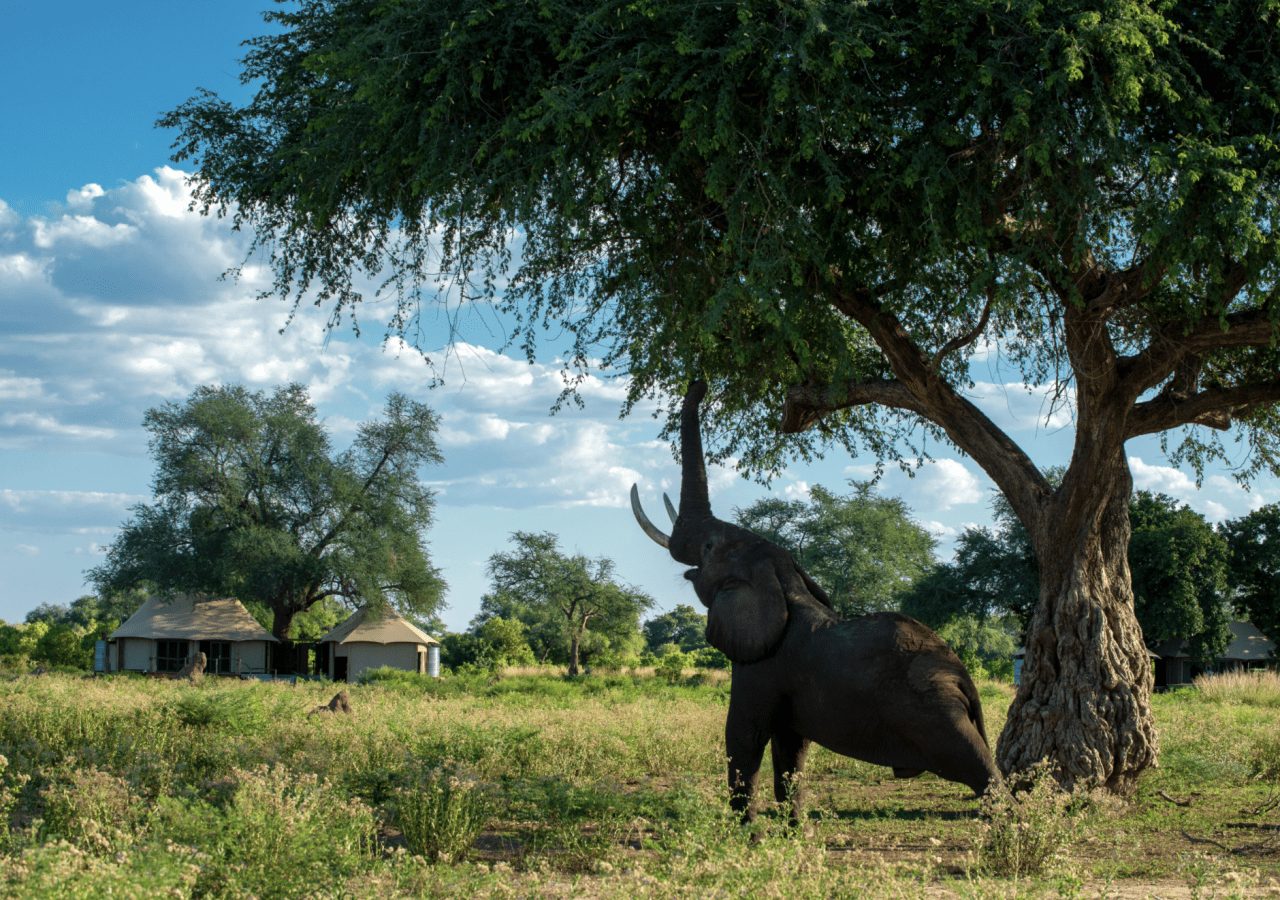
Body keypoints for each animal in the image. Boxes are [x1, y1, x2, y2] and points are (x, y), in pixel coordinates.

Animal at [629, 378, 998, 824]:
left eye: (710, 546)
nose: (700, 381)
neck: (784, 583)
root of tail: (963, 677)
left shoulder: (762, 667)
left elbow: (744, 735)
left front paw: (746, 830)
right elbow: (792, 749)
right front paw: (793, 829)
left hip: (935, 712)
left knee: (978, 769)